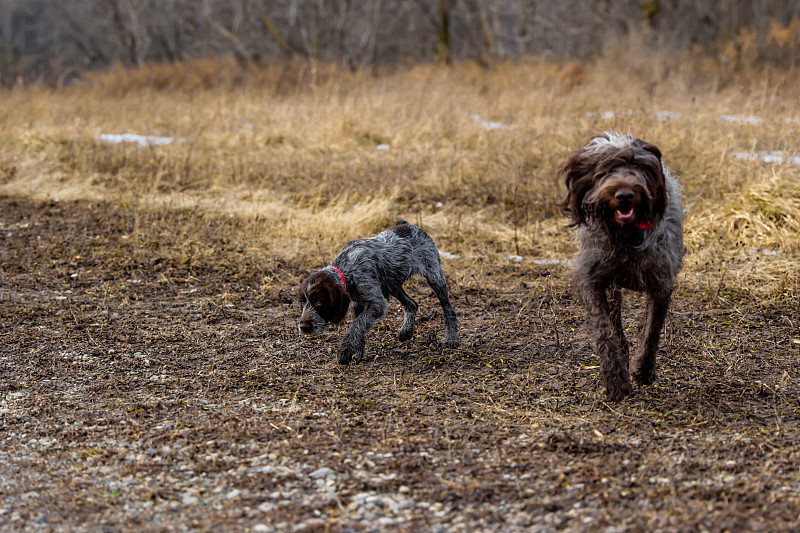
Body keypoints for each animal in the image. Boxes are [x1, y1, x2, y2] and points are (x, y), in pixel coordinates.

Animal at [296, 218, 460, 364]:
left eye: (319, 302)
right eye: (303, 301)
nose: (304, 327)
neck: (347, 269)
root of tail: (407, 225)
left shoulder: (376, 304)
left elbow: (357, 325)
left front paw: (345, 351)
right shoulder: (358, 303)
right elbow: (359, 327)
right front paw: (357, 352)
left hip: (434, 276)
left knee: (448, 309)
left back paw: (451, 338)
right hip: (392, 283)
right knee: (412, 304)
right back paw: (406, 331)